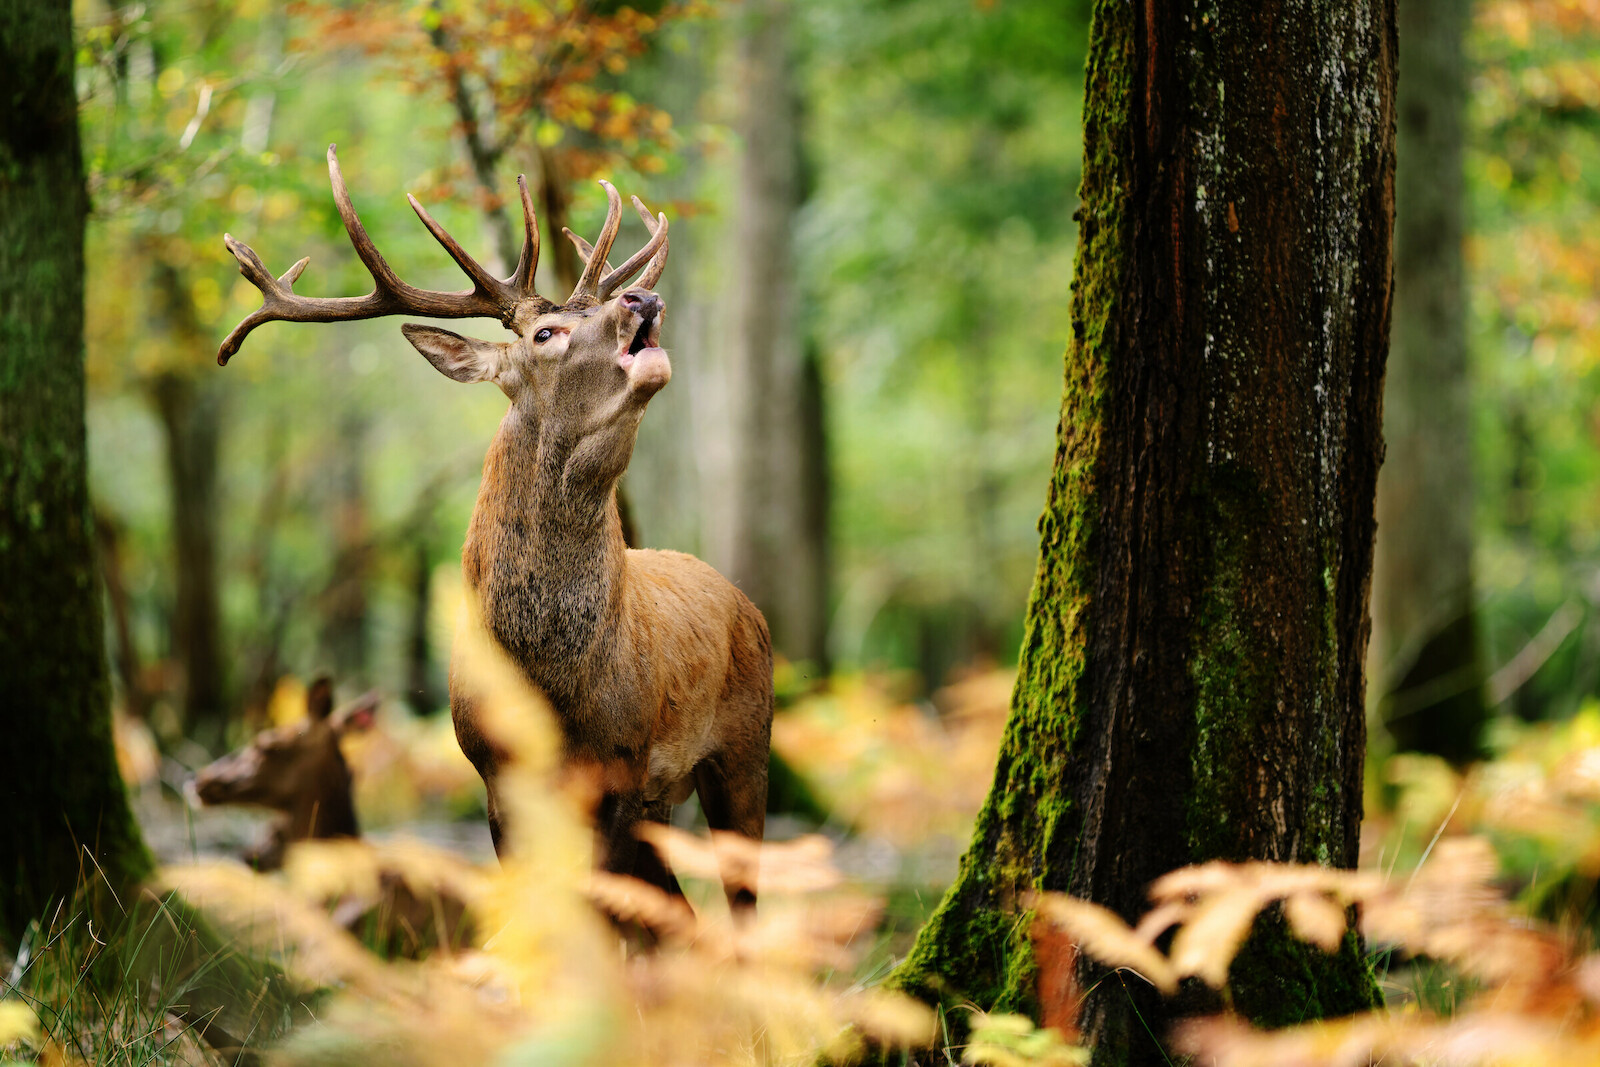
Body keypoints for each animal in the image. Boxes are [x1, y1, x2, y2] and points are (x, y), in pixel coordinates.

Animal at [216, 146, 774, 922]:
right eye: (545, 333)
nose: (642, 300)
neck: (552, 685)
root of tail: (745, 600)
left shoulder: (624, 767)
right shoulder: (494, 777)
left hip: (745, 749)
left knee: (739, 902)